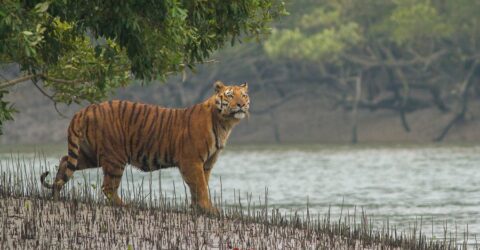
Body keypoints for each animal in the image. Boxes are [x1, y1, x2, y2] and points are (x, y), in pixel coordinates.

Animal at [40, 81, 251, 214]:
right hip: (115, 157)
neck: (224, 123)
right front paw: (209, 209)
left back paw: (56, 194)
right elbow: (200, 186)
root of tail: (85, 110)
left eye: (243, 95)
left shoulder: (206, 164)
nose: (241, 105)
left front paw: (198, 209)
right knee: (108, 187)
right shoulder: (192, 161)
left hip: (89, 154)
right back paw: (126, 205)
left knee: (65, 161)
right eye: (230, 95)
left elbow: (200, 186)